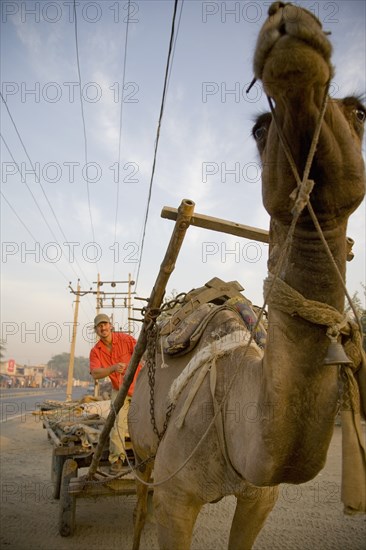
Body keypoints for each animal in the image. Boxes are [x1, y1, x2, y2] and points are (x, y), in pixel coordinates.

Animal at [128, 2, 364, 548]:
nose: (291, 27)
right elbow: (164, 507)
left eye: (362, 113)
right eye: (259, 128)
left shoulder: (261, 496)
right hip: (145, 449)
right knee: (139, 495)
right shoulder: (176, 497)